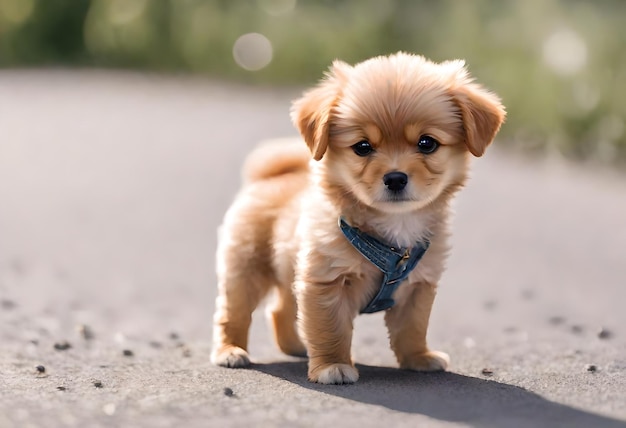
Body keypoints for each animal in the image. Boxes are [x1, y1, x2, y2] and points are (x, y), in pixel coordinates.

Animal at [212, 51, 504, 382]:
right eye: (362, 147)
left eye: (427, 143)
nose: (395, 178)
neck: (394, 233)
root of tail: (268, 178)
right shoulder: (327, 282)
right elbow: (330, 329)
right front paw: (332, 366)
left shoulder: (418, 288)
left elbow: (413, 329)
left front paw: (418, 358)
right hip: (245, 271)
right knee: (233, 313)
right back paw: (230, 351)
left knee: (281, 309)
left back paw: (297, 346)